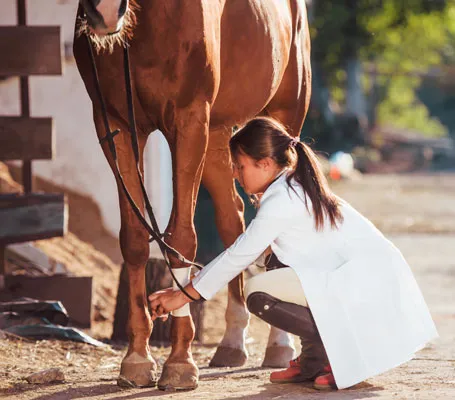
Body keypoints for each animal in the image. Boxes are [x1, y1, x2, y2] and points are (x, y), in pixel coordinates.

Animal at [75, 0, 312, 390]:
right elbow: (135, 239)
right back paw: (233, 342)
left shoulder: (189, 120)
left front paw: (179, 362)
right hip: (219, 134)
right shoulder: (114, 123)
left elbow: (181, 239)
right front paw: (137, 357)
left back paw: (280, 344)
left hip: (282, 114)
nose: (105, 11)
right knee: (233, 220)